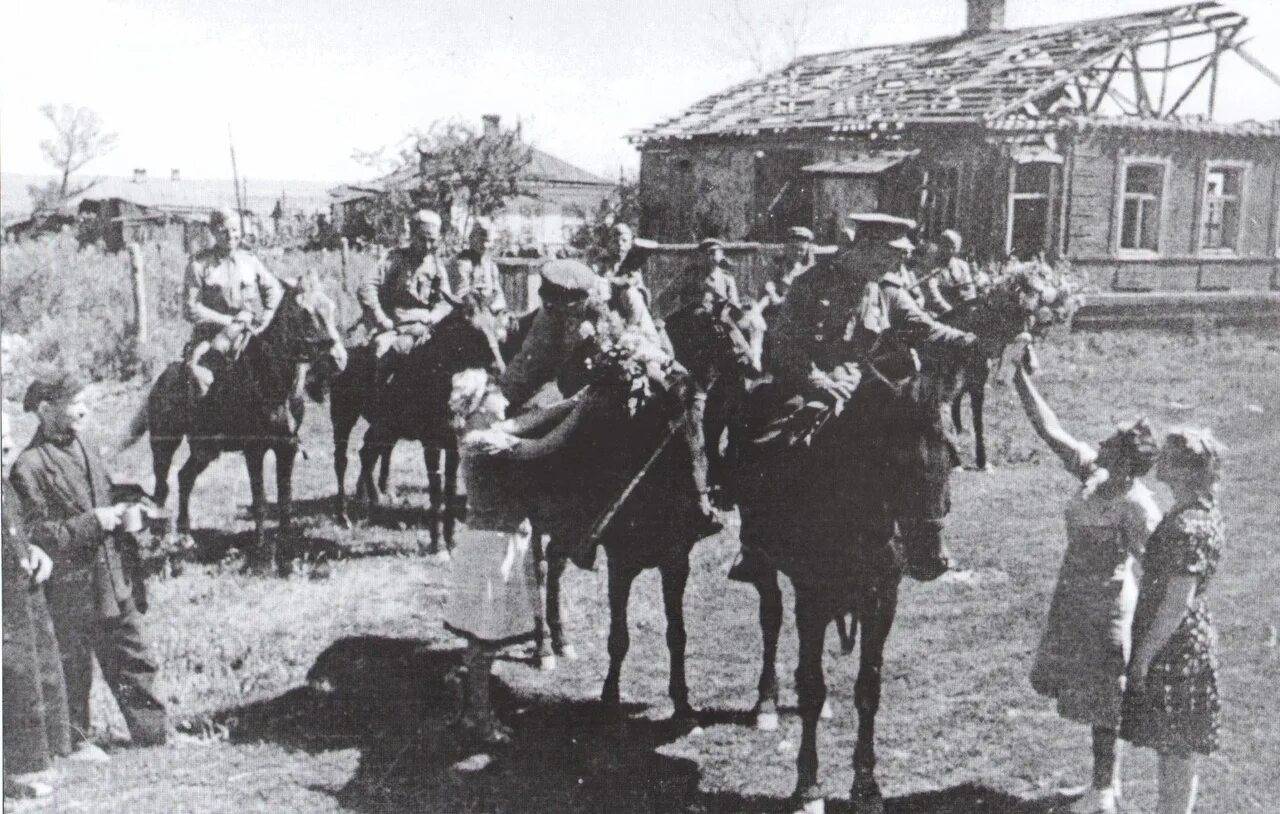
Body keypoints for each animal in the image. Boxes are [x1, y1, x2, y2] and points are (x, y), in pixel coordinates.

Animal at [122, 271, 348, 573]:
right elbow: (260, 501)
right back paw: (162, 536)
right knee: (161, 486)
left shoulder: (286, 448)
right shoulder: (254, 450)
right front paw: (261, 553)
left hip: (205, 450)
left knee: (185, 478)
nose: (338, 360)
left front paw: (286, 549)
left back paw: (186, 534)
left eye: (331, 307)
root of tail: (160, 380)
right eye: (305, 313)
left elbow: (285, 500)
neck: (271, 380)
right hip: (164, 444)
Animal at [314, 289, 504, 550]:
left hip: (383, 426)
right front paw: (436, 543)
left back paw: (375, 503)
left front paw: (451, 540)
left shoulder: (453, 443)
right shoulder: (430, 443)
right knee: (341, 460)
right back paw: (344, 516)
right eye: (468, 324)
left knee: (368, 453)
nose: (499, 367)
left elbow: (450, 487)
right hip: (344, 417)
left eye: (494, 321)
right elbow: (435, 489)